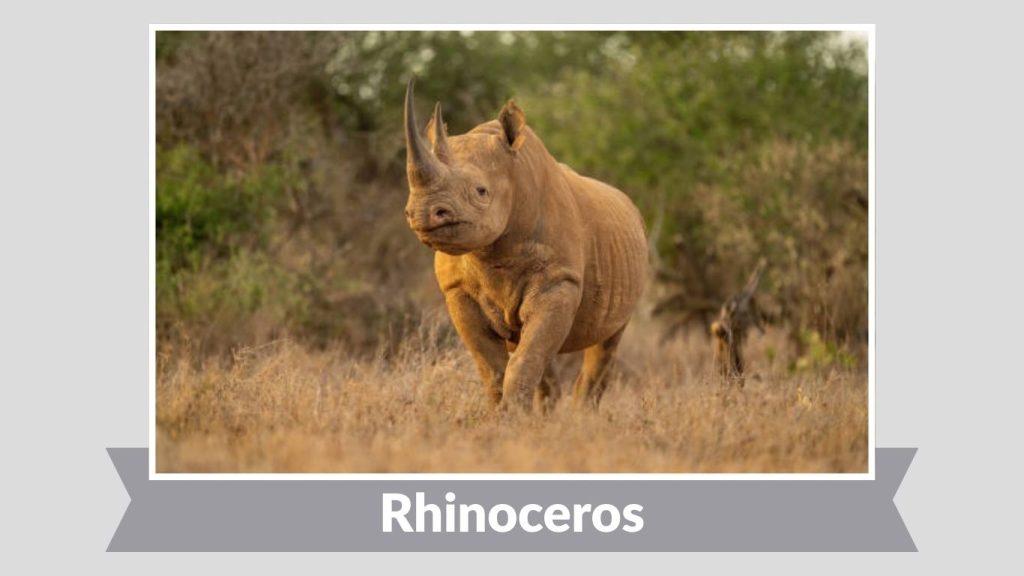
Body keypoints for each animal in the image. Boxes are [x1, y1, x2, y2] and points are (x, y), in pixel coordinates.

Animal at [402, 79, 648, 410]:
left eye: (481, 191)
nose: (423, 212)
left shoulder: (559, 280)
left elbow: (523, 361)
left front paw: (513, 415)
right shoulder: (457, 290)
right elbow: (493, 368)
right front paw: (503, 417)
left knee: (606, 343)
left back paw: (581, 416)